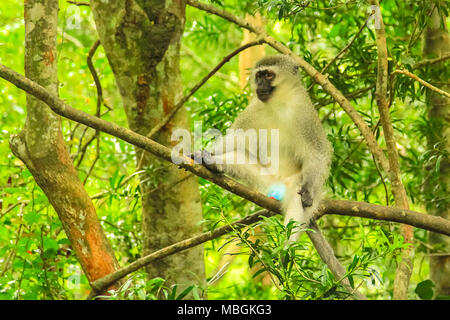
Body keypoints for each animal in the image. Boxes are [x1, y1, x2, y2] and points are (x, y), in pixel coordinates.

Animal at [195, 55, 332, 240]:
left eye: (269, 75)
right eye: (259, 76)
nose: (259, 84)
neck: (278, 103)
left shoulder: (305, 112)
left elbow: (317, 152)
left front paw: (308, 190)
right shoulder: (253, 109)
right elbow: (236, 138)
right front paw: (203, 153)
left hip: (293, 182)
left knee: (298, 202)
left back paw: (285, 246)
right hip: (265, 179)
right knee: (239, 156)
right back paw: (213, 163)